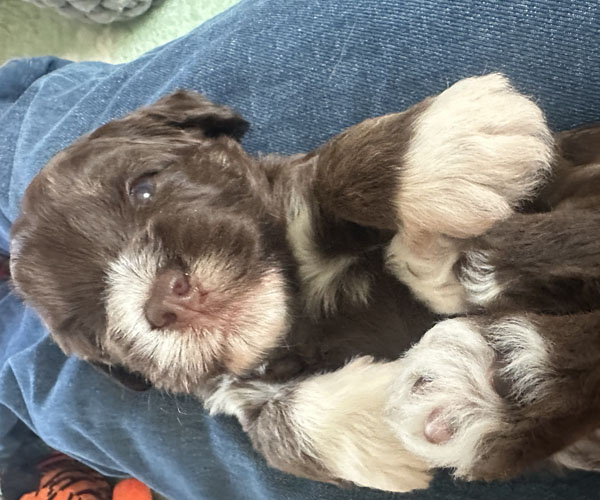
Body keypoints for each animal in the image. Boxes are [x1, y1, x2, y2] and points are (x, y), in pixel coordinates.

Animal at [9, 73, 600, 491]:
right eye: (92, 326)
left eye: (145, 187)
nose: (163, 303)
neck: (295, 311)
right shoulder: (235, 392)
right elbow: (275, 429)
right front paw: (372, 416)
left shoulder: (298, 192)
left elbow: (331, 170)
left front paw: (448, 145)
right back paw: (486, 376)